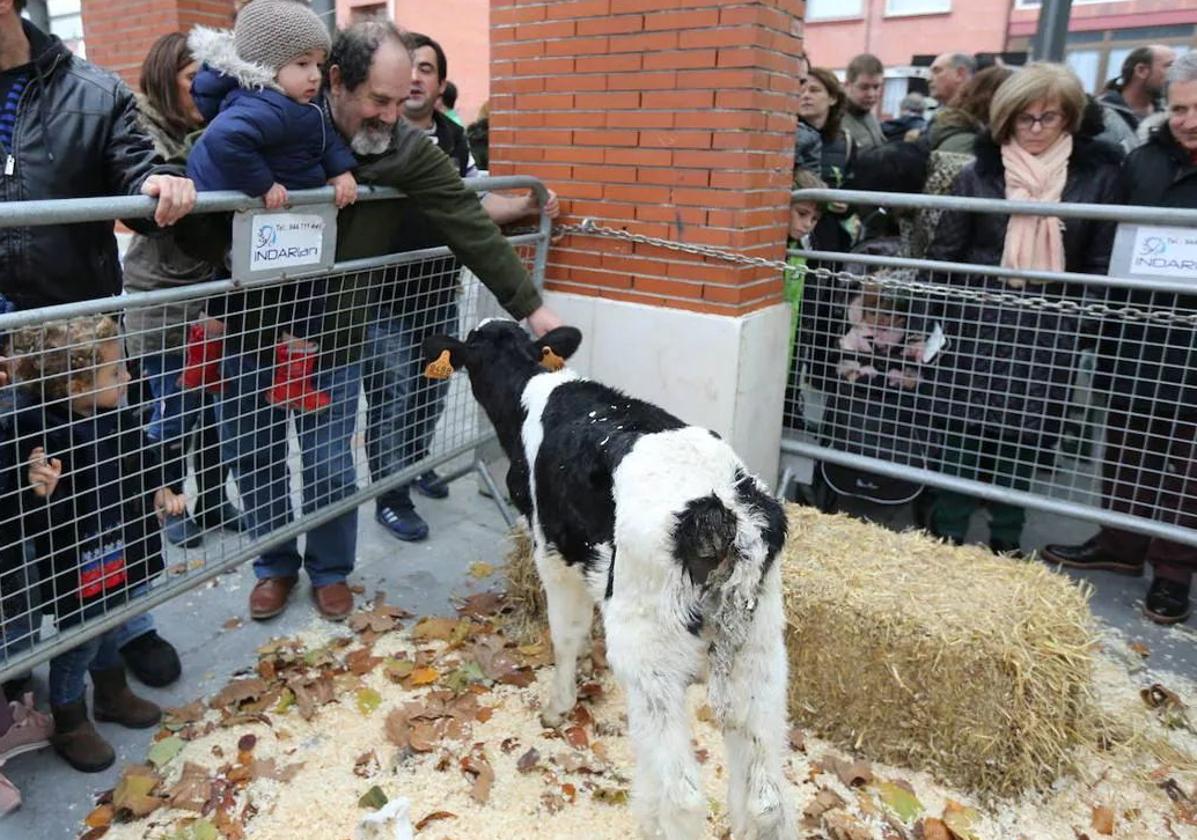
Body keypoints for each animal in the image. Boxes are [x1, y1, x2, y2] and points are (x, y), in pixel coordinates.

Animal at [423, 323, 794, 840]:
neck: (531, 394)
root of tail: (718, 509)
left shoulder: (552, 550)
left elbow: (566, 634)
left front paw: (558, 705)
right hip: (760, 651)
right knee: (766, 797)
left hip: (651, 649)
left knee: (683, 796)